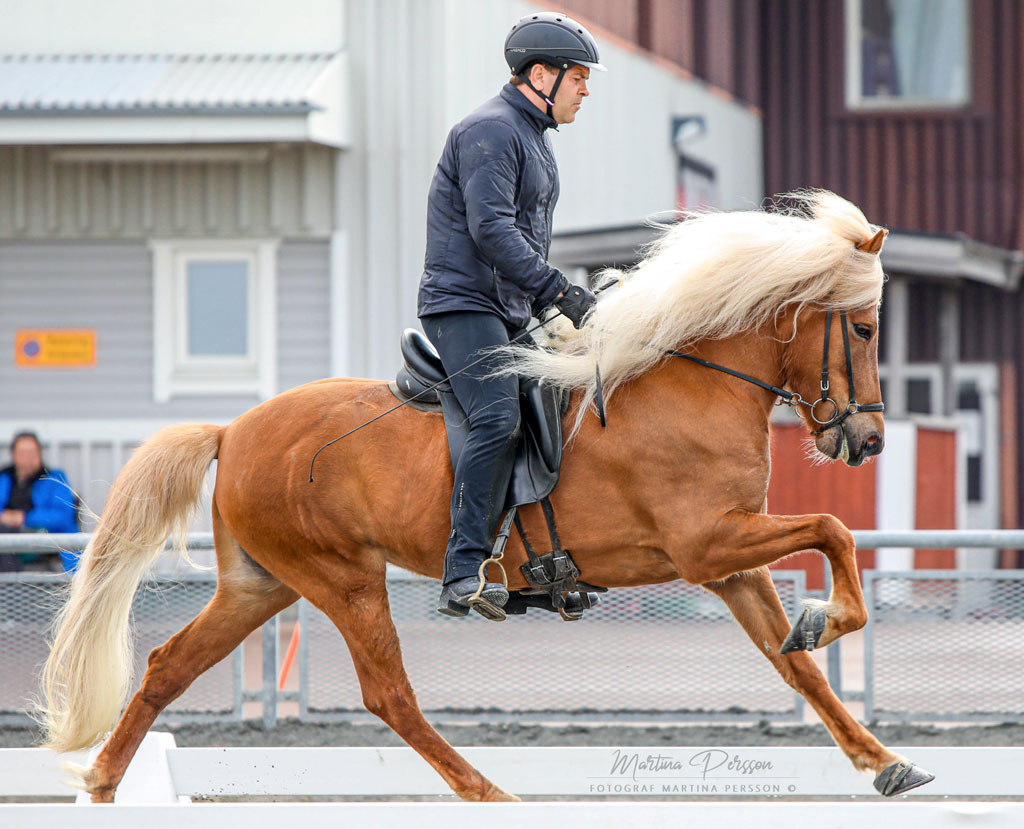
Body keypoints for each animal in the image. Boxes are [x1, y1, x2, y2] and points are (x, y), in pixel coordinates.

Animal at [39, 190, 933, 798]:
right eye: (862, 328)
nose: (869, 441)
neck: (689, 383)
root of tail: (233, 430)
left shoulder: (728, 559)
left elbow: (799, 670)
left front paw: (883, 759)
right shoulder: (708, 540)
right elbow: (833, 528)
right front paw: (829, 619)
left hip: (261, 584)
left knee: (167, 666)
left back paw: (104, 785)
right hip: (343, 577)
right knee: (389, 693)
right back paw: (488, 791)